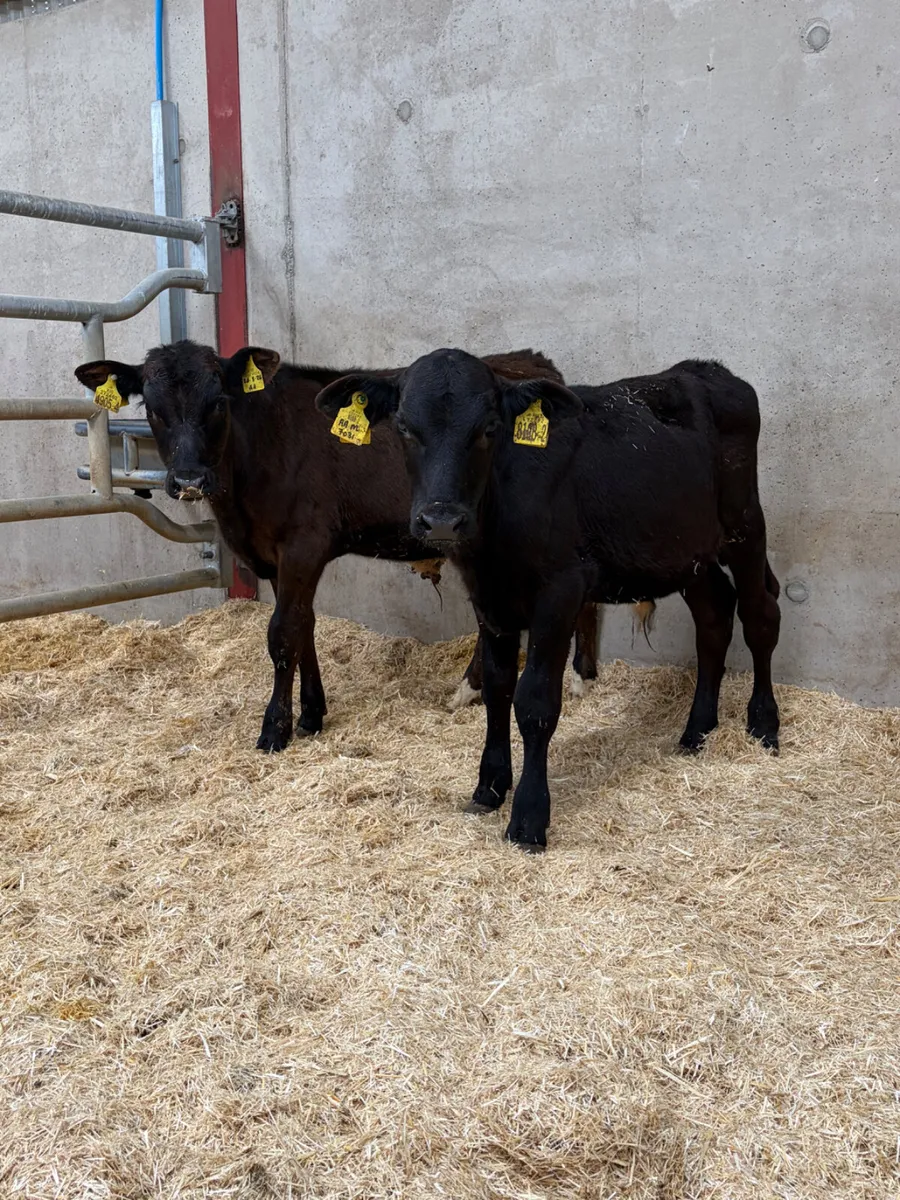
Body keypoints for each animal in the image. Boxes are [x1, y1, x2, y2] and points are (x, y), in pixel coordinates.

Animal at [74, 341, 600, 751]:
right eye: (152, 408)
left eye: (219, 401)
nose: (189, 480)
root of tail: (533, 361)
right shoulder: (273, 556)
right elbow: (303, 625)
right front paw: (311, 714)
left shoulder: (303, 544)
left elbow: (282, 631)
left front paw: (276, 728)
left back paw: (574, 679)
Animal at [316, 350, 781, 851]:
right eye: (403, 426)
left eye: (490, 427)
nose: (441, 520)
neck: (493, 542)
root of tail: (708, 369)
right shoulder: (489, 598)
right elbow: (498, 689)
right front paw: (489, 787)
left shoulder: (561, 591)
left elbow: (535, 700)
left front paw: (528, 818)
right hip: (686, 549)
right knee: (715, 613)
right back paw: (697, 730)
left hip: (744, 524)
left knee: (760, 614)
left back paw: (764, 724)